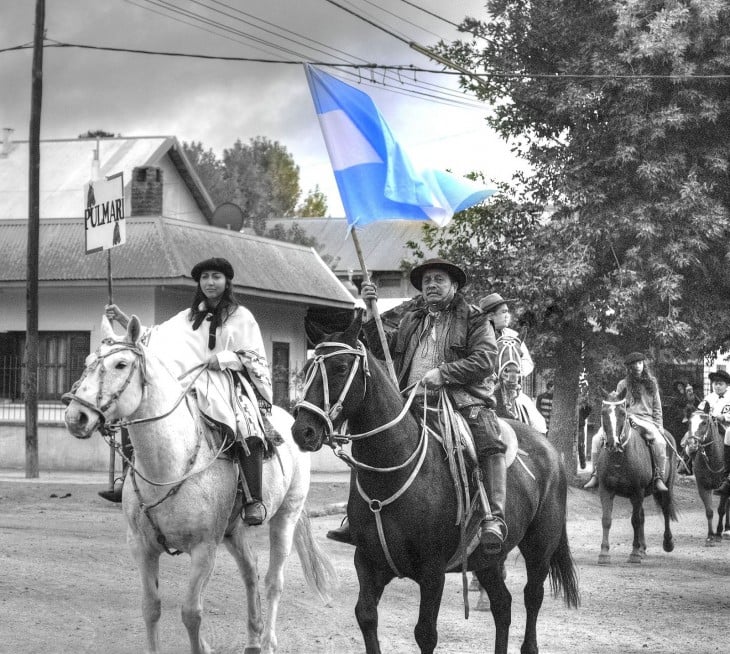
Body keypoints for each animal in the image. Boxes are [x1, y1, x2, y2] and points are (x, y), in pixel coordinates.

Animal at [64, 316, 334, 654]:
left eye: (121, 364)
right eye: (88, 362)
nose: (76, 416)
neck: (168, 466)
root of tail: (292, 421)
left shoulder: (204, 549)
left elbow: (191, 613)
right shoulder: (141, 547)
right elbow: (150, 608)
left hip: (286, 516)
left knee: (274, 580)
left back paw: (268, 640)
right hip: (233, 531)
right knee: (251, 570)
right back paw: (253, 638)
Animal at [288, 312, 576, 654]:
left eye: (341, 367)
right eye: (307, 368)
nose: (302, 430)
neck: (391, 472)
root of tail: (550, 449)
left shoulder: (432, 571)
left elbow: (425, 633)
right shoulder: (368, 563)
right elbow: (366, 616)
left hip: (539, 547)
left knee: (532, 598)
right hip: (488, 558)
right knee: (502, 605)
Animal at [592, 398, 676, 568]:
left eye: (622, 413)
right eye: (603, 413)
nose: (612, 443)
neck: (619, 458)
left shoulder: (637, 491)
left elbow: (635, 521)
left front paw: (634, 554)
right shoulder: (606, 490)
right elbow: (606, 520)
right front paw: (604, 554)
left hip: (665, 488)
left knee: (665, 511)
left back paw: (667, 543)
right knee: (643, 515)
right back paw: (643, 548)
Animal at [684, 412, 728, 544]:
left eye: (704, 423)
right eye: (689, 422)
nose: (692, 444)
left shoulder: (724, 488)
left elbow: (721, 510)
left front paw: (718, 533)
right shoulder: (703, 486)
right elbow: (709, 512)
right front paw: (710, 535)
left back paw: (726, 530)